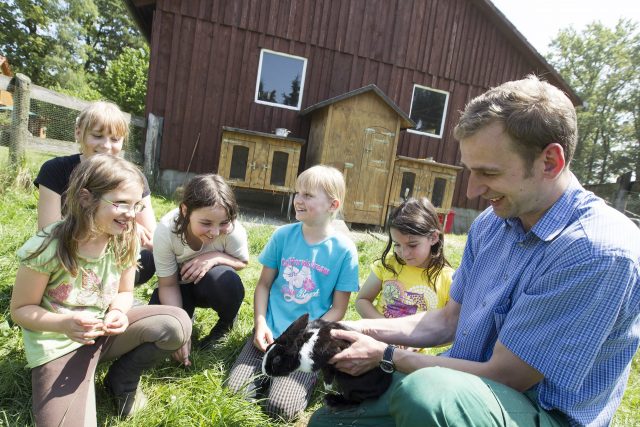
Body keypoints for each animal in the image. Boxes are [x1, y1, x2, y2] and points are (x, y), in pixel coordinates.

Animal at [262, 314, 392, 408]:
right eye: (267, 347)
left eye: (277, 360)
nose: (264, 371)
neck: (302, 345)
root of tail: (385, 386)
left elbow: (328, 371)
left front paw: (327, 386)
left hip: (349, 385)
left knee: (354, 401)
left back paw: (330, 399)